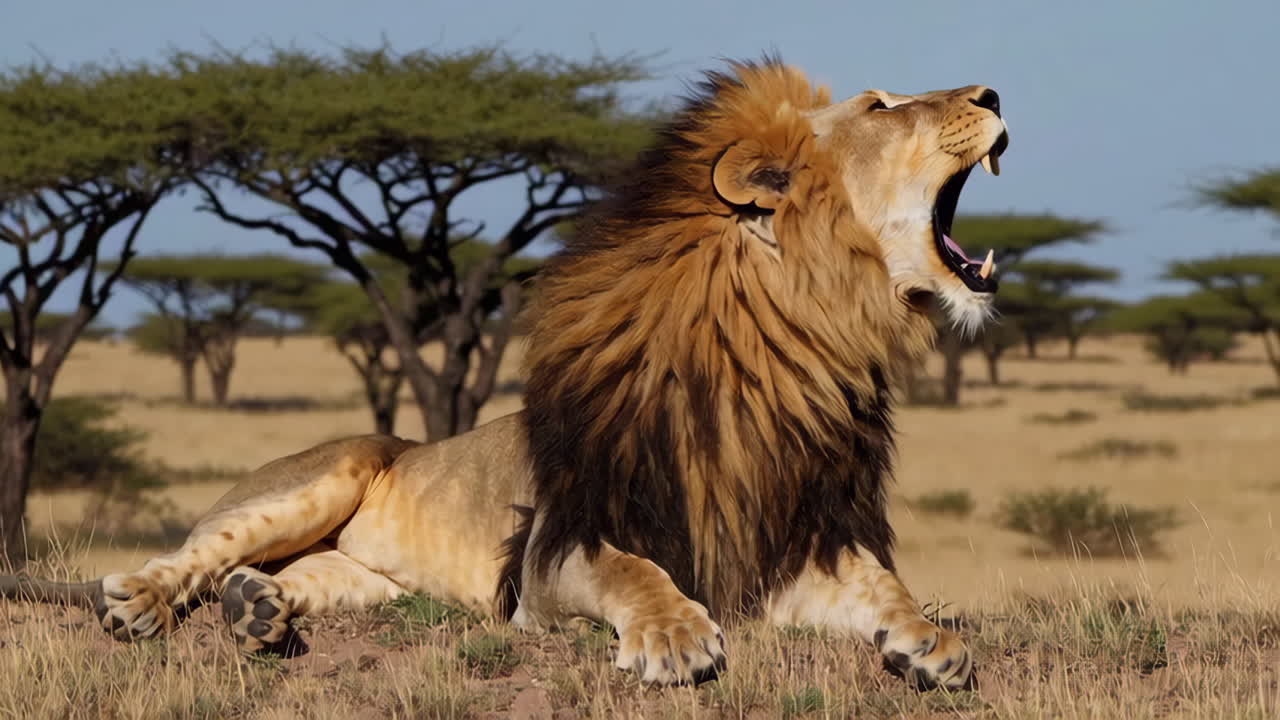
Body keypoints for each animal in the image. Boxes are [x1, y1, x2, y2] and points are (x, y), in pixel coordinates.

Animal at [2, 59, 1007, 690]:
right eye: (880, 107)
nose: (996, 91)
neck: (789, 349)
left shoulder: (788, 543)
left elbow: (885, 587)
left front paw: (933, 642)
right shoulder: (557, 549)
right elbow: (632, 571)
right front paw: (674, 636)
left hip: (371, 585)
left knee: (269, 580)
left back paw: (260, 609)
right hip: (320, 474)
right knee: (190, 557)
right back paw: (140, 602)